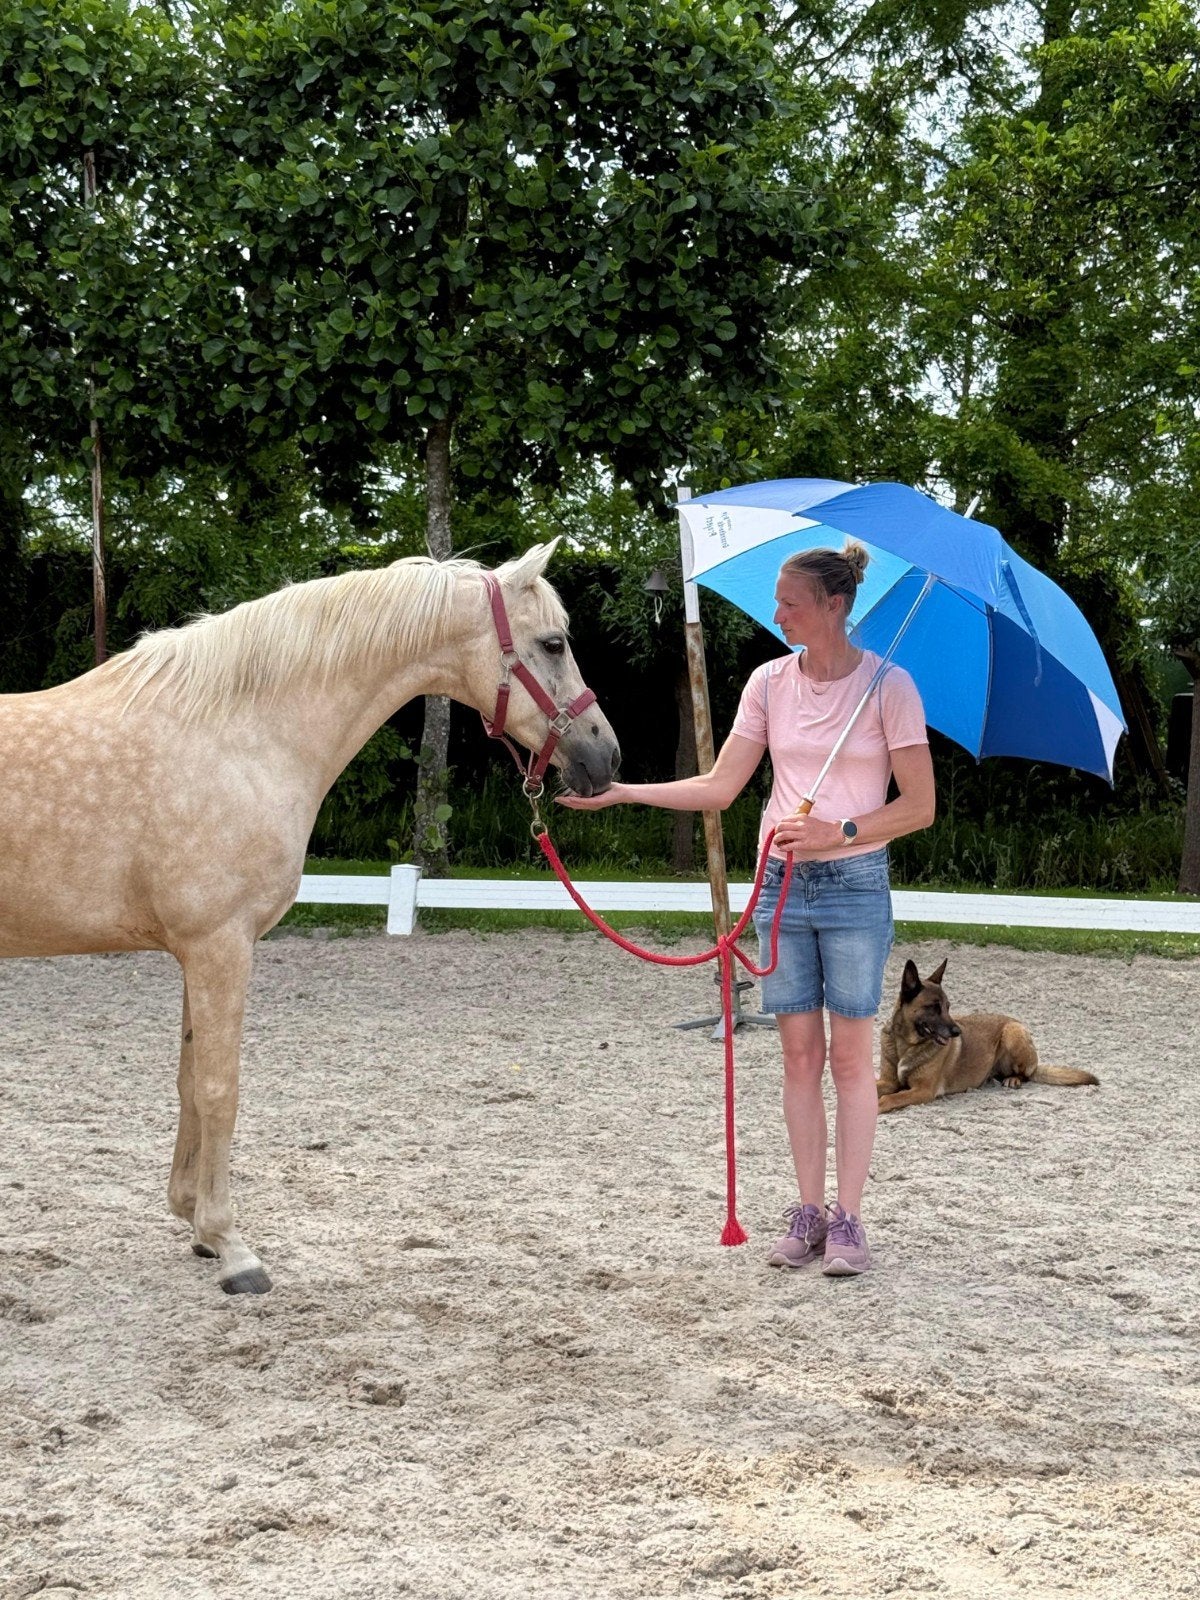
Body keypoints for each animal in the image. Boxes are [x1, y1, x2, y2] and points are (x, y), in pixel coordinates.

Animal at [0, 539, 619, 1295]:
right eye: (553, 643)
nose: (605, 754)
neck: (236, 737)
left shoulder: (196, 952)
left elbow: (188, 1081)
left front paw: (193, 1221)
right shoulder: (220, 946)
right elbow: (219, 1088)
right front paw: (232, 1247)